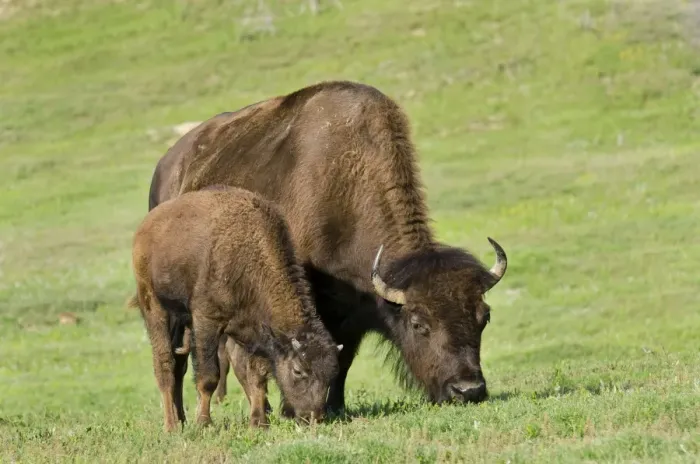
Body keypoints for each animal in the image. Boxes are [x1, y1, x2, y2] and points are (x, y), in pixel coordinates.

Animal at [128, 186, 342, 431]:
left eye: (331, 374)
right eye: (298, 370)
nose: (314, 417)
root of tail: (145, 230)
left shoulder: (253, 331)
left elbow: (257, 375)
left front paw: (259, 423)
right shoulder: (207, 321)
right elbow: (209, 376)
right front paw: (204, 423)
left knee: (178, 365)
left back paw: (181, 421)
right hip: (154, 306)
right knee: (165, 365)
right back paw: (171, 426)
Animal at [148, 80, 508, 414]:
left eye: (485, 317)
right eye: (420, 323)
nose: (468, 390)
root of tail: (168, 166)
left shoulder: (353, 312)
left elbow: (342, 359)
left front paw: (335, 406)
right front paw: (296, 408)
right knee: (178, 360)